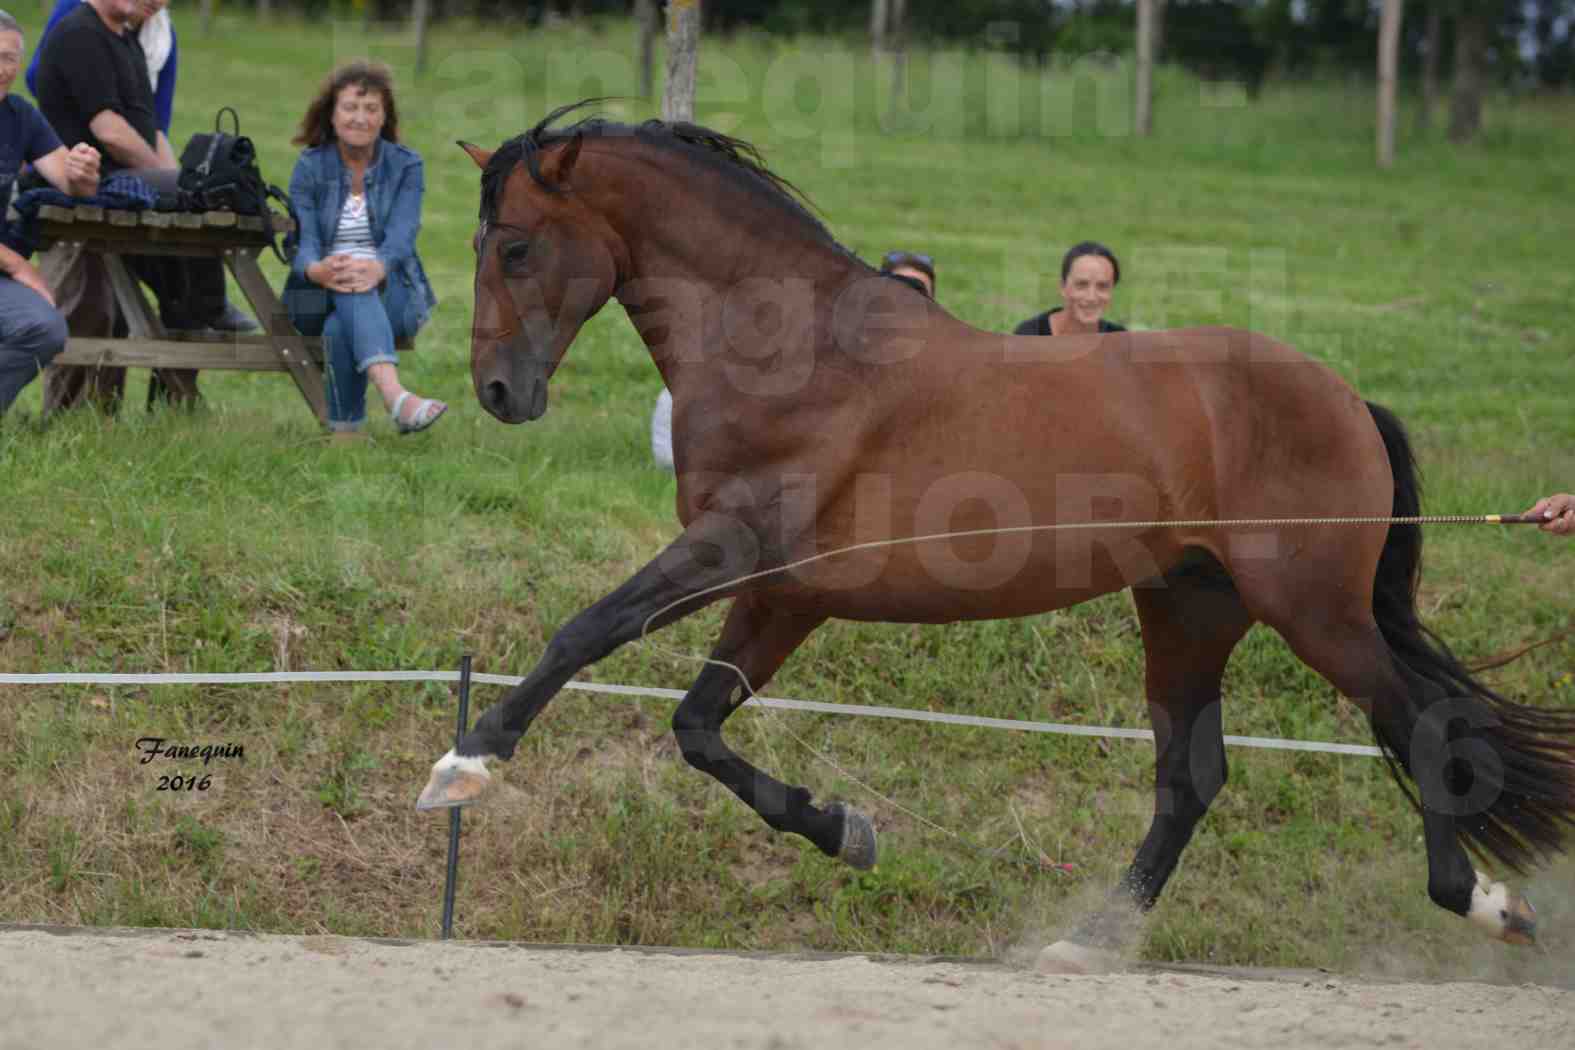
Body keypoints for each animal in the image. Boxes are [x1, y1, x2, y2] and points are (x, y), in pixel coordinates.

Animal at [418, 100, 1575, 969]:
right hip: (1190, 607)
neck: (794, 354)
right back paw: (1087, 943)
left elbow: (590, 631)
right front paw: (847, 832)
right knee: (1191, 780)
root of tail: (1343, 397)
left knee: (1416, 723)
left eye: (514, 246)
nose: (499, 393)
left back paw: (1484, 903)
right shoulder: (784, 591)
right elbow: (697, 727)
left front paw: (467, 763)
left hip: (1311, 608)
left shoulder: (733, 552)